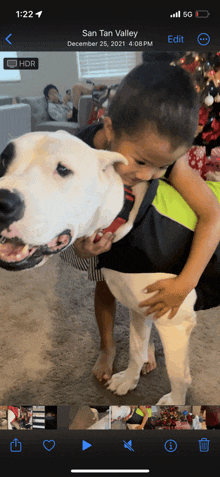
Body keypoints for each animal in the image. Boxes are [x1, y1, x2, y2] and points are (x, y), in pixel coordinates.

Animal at [0, 130, 198, 402]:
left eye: (63, 169)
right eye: (3, 159)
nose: (1, 201)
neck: (126, 216)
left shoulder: (175, 321)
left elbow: (179, 376)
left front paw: (176, 404)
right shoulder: (138, 307)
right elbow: (136, 349)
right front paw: (128, 380)